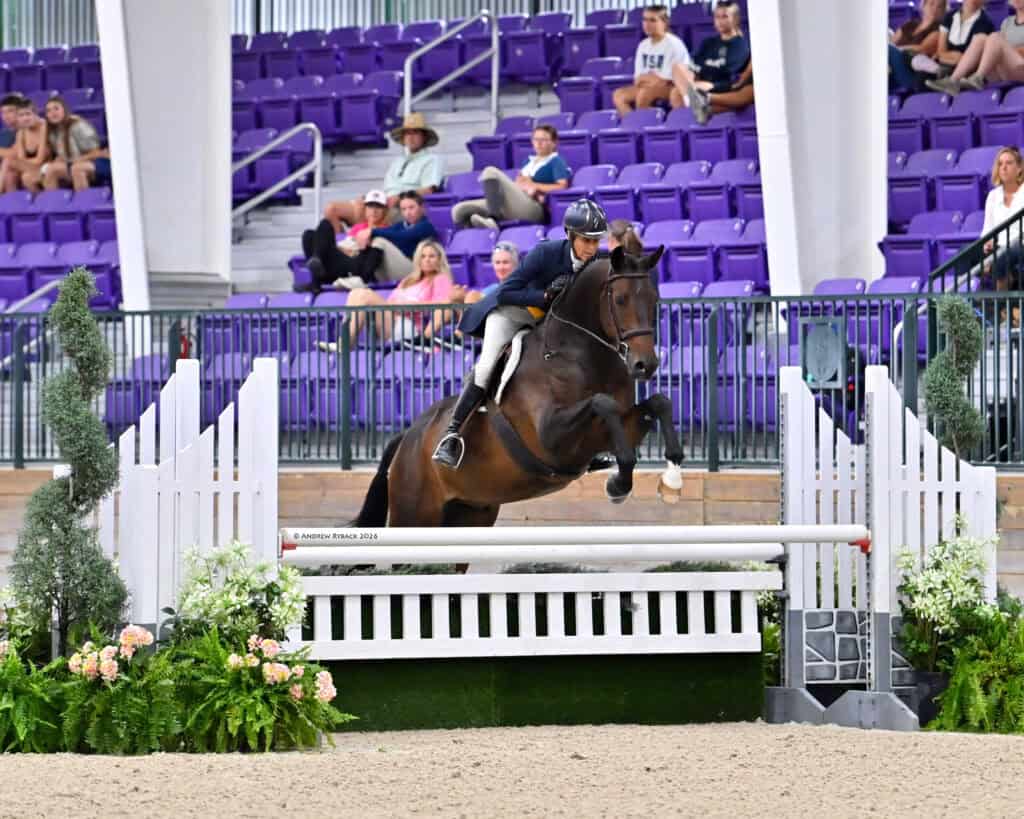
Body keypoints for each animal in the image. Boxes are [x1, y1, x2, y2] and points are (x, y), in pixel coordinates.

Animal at [353, 244, 685, 528]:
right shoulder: (551, 438)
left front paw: (671, 479)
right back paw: (447, 447)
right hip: (414, 515)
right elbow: (603, 403)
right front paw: (618, 485)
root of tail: (406, 437)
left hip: (470, 513)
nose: (645, 365)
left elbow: (658, 403)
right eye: (620, 300)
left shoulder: (615, 428)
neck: (581, 353)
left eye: (654, 300)